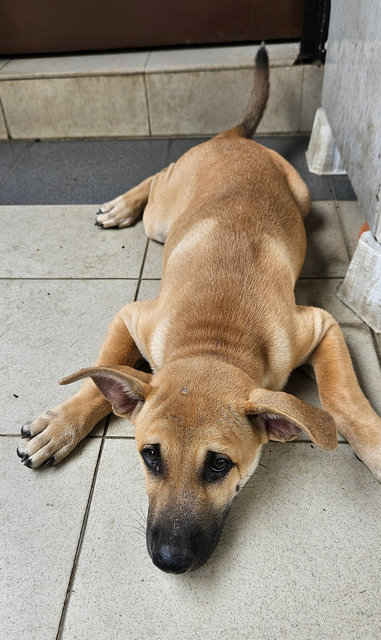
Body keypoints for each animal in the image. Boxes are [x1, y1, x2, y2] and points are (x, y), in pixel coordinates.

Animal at [17, 47, 380, 572]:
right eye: (150, 455)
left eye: (219, 465)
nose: (169, 560)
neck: (215, 339)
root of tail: (232, 140)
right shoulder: (132, 315)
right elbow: (102, 375)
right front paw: (64, 423)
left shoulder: (321, 325)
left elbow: (343, 400)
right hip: (162, 218)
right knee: (158, 178)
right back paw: (122, 205)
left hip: (303, 197)